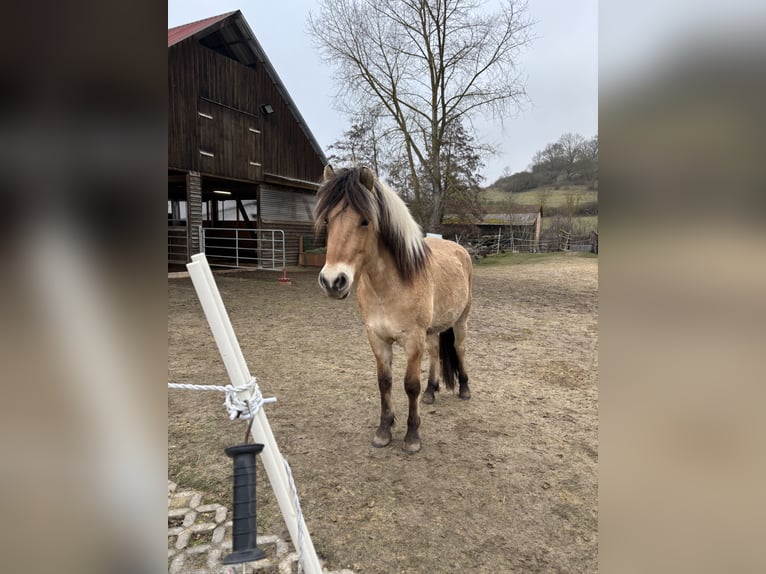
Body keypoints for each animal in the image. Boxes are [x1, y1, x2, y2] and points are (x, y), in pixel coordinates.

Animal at [314, 165, 473, 453]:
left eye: (365, 221)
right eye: (328, 221)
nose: (333, 281)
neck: (390, 286)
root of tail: (459, 248)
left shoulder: (413, 340)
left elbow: (410, 385)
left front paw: (412, 436)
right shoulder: (377, 338)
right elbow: (384, 382)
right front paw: (384, 430)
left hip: (461, 320)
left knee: (459, 348)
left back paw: (465, 389)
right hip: (433, 330)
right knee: (435, 352)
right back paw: (431, 391)